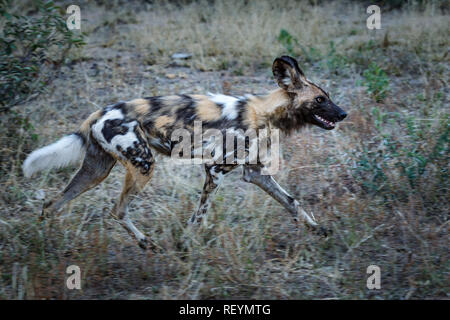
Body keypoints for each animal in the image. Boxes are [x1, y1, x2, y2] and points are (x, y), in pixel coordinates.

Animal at [22, 55, 348, 250]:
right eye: (320, 99)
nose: (344, 113)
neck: (264, 113)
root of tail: (97, 113)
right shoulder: (215, 170)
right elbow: (199, 215)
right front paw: (187, 244)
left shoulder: (255, 174)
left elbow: (292, 203)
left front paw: (318, 230)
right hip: (143, 166)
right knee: (117, 210)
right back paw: (145, 243)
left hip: (96, 171)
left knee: (52, 205)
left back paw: (42, 247)